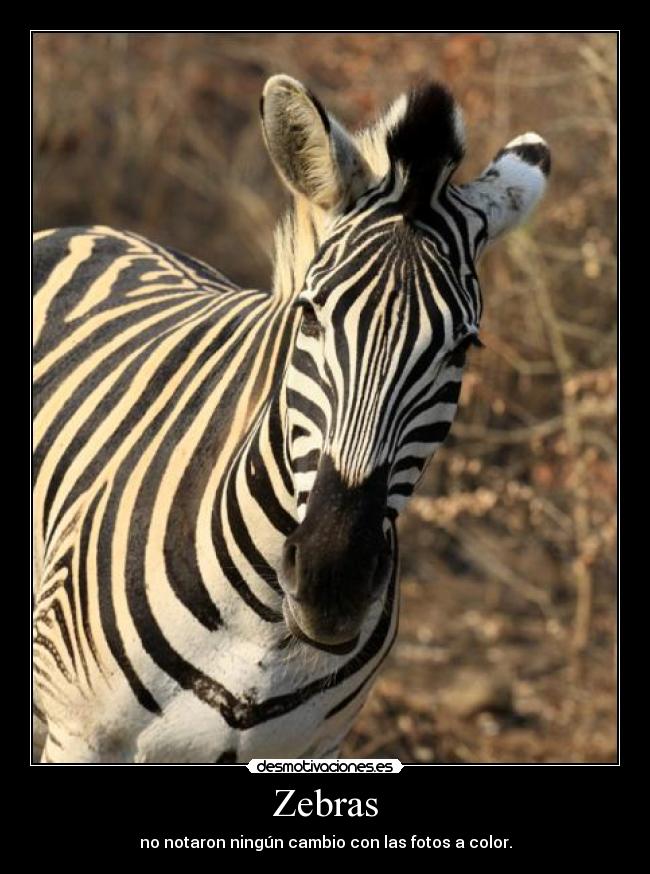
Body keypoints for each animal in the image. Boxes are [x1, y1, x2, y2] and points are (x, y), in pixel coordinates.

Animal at [33, 74, 550, 764]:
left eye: (463, 347)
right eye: (311, 314)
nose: (334, 582)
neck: (263, 628)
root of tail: (86, 229)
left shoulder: (313, 743)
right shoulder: (79, 734)